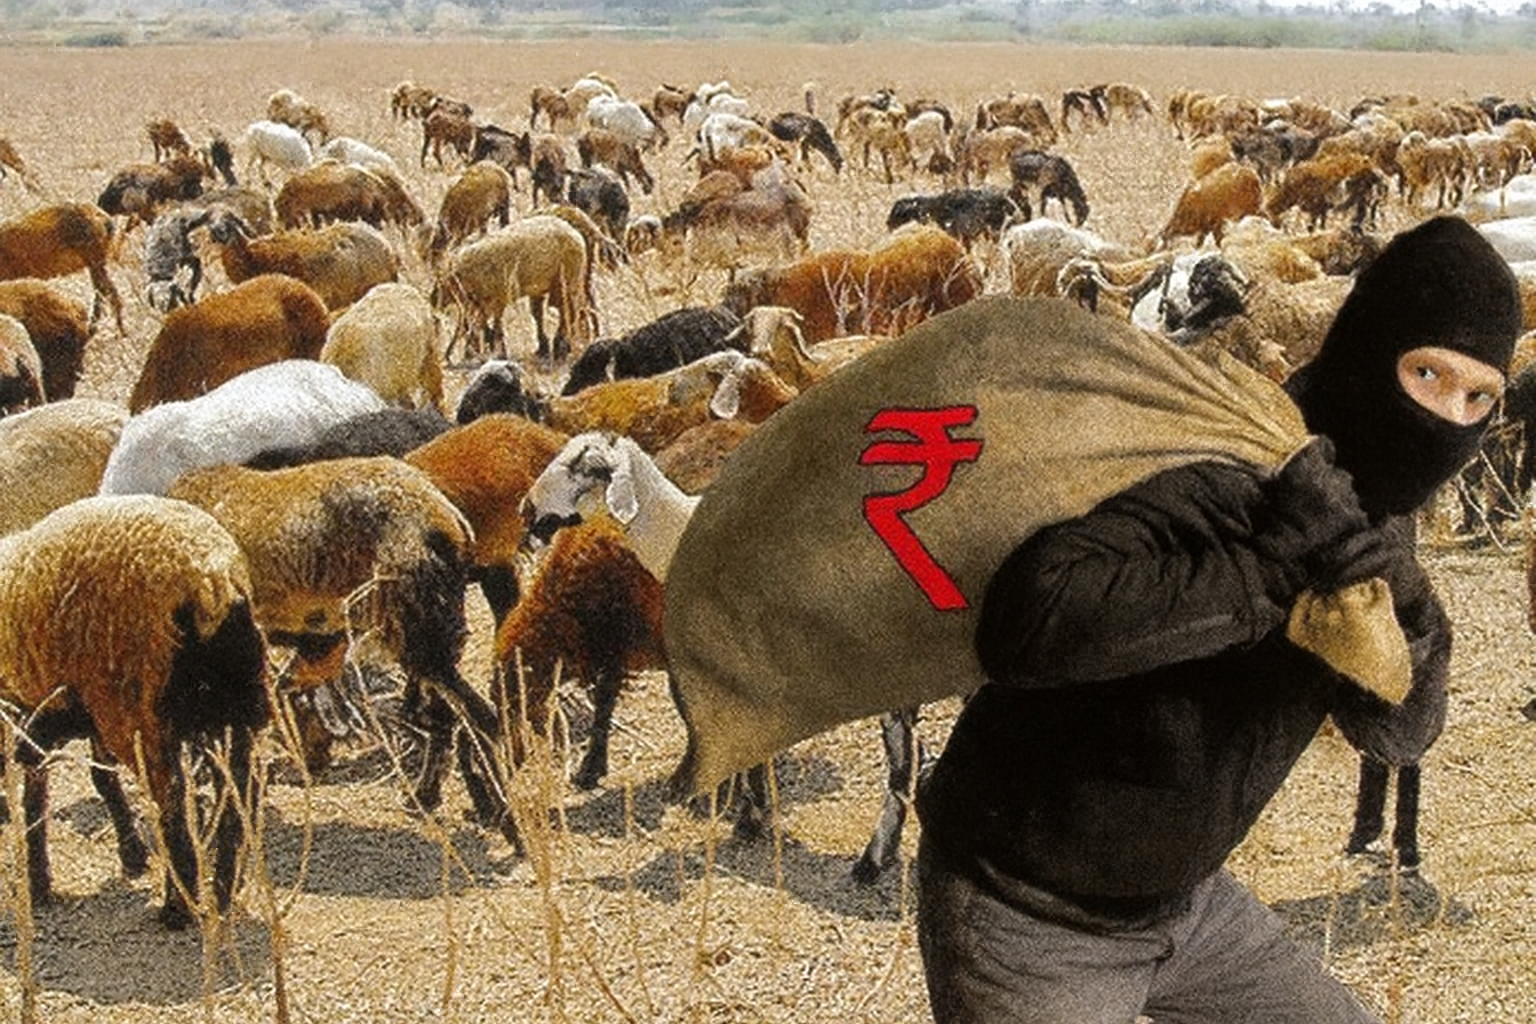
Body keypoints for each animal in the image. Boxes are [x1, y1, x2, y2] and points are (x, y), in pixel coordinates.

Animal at [0, 494, 269, 928]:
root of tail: (209, 580)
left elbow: (43, 792)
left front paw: (38, 882)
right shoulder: (69, 711)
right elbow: (86, 780)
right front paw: (129, 855)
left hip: (139, 707)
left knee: (174, 800)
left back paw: (178, 906)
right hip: (229, 707)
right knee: (237, 791)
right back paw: (226, 889)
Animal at [164, 457, 515, 842]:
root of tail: (449, 520)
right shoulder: (319, 642)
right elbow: (284, 696)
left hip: (419, 633)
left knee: (480, 717)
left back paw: (503, 816)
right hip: (423, 636)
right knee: (447, 717)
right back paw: (428, 796)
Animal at [430, 214, 593, 363]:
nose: (433, 301)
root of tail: (576, 233)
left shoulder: (491, 297)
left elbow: (483, 324)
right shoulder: (487, 299)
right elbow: (485, 323)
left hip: (568, 277)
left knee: (569, 310)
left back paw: (561, 348)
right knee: (549, 312)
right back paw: (549, 349)